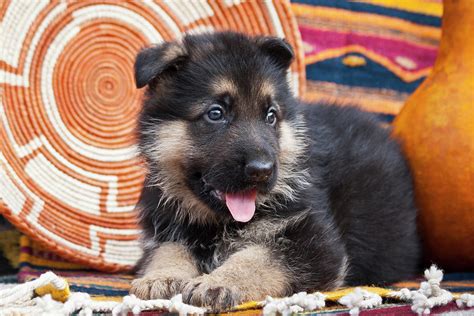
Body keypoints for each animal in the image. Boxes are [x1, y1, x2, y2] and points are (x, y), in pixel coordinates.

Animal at [130, 31, 418, 308]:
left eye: (270, 116)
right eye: (215, 113)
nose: (262, 170)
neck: (218, 223)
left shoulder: (316, 242)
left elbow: (259, 257)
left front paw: (219, 282)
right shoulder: (163, 229)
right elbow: (168, 249)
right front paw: (162, 276)